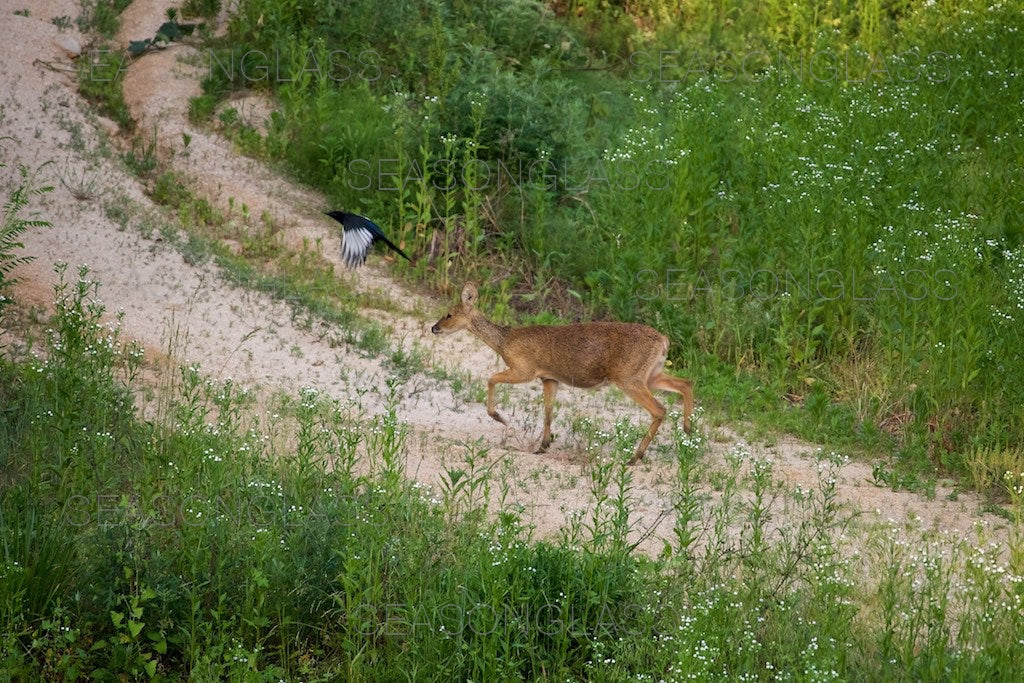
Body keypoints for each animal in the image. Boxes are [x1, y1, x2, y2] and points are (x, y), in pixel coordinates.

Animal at [428, 282, 692, 464]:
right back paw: (687, 431)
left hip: (629, 376)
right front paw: (542, 446)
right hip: (651, 373)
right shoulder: (549, 378)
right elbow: (548, 411)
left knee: (660, 409)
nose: (434, 328)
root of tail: (664, 340)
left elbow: (490, 378)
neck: (503, 341)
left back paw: (635, 457)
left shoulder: (524, 369)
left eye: (449, 314)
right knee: (685, 383)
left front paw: (500, 418)